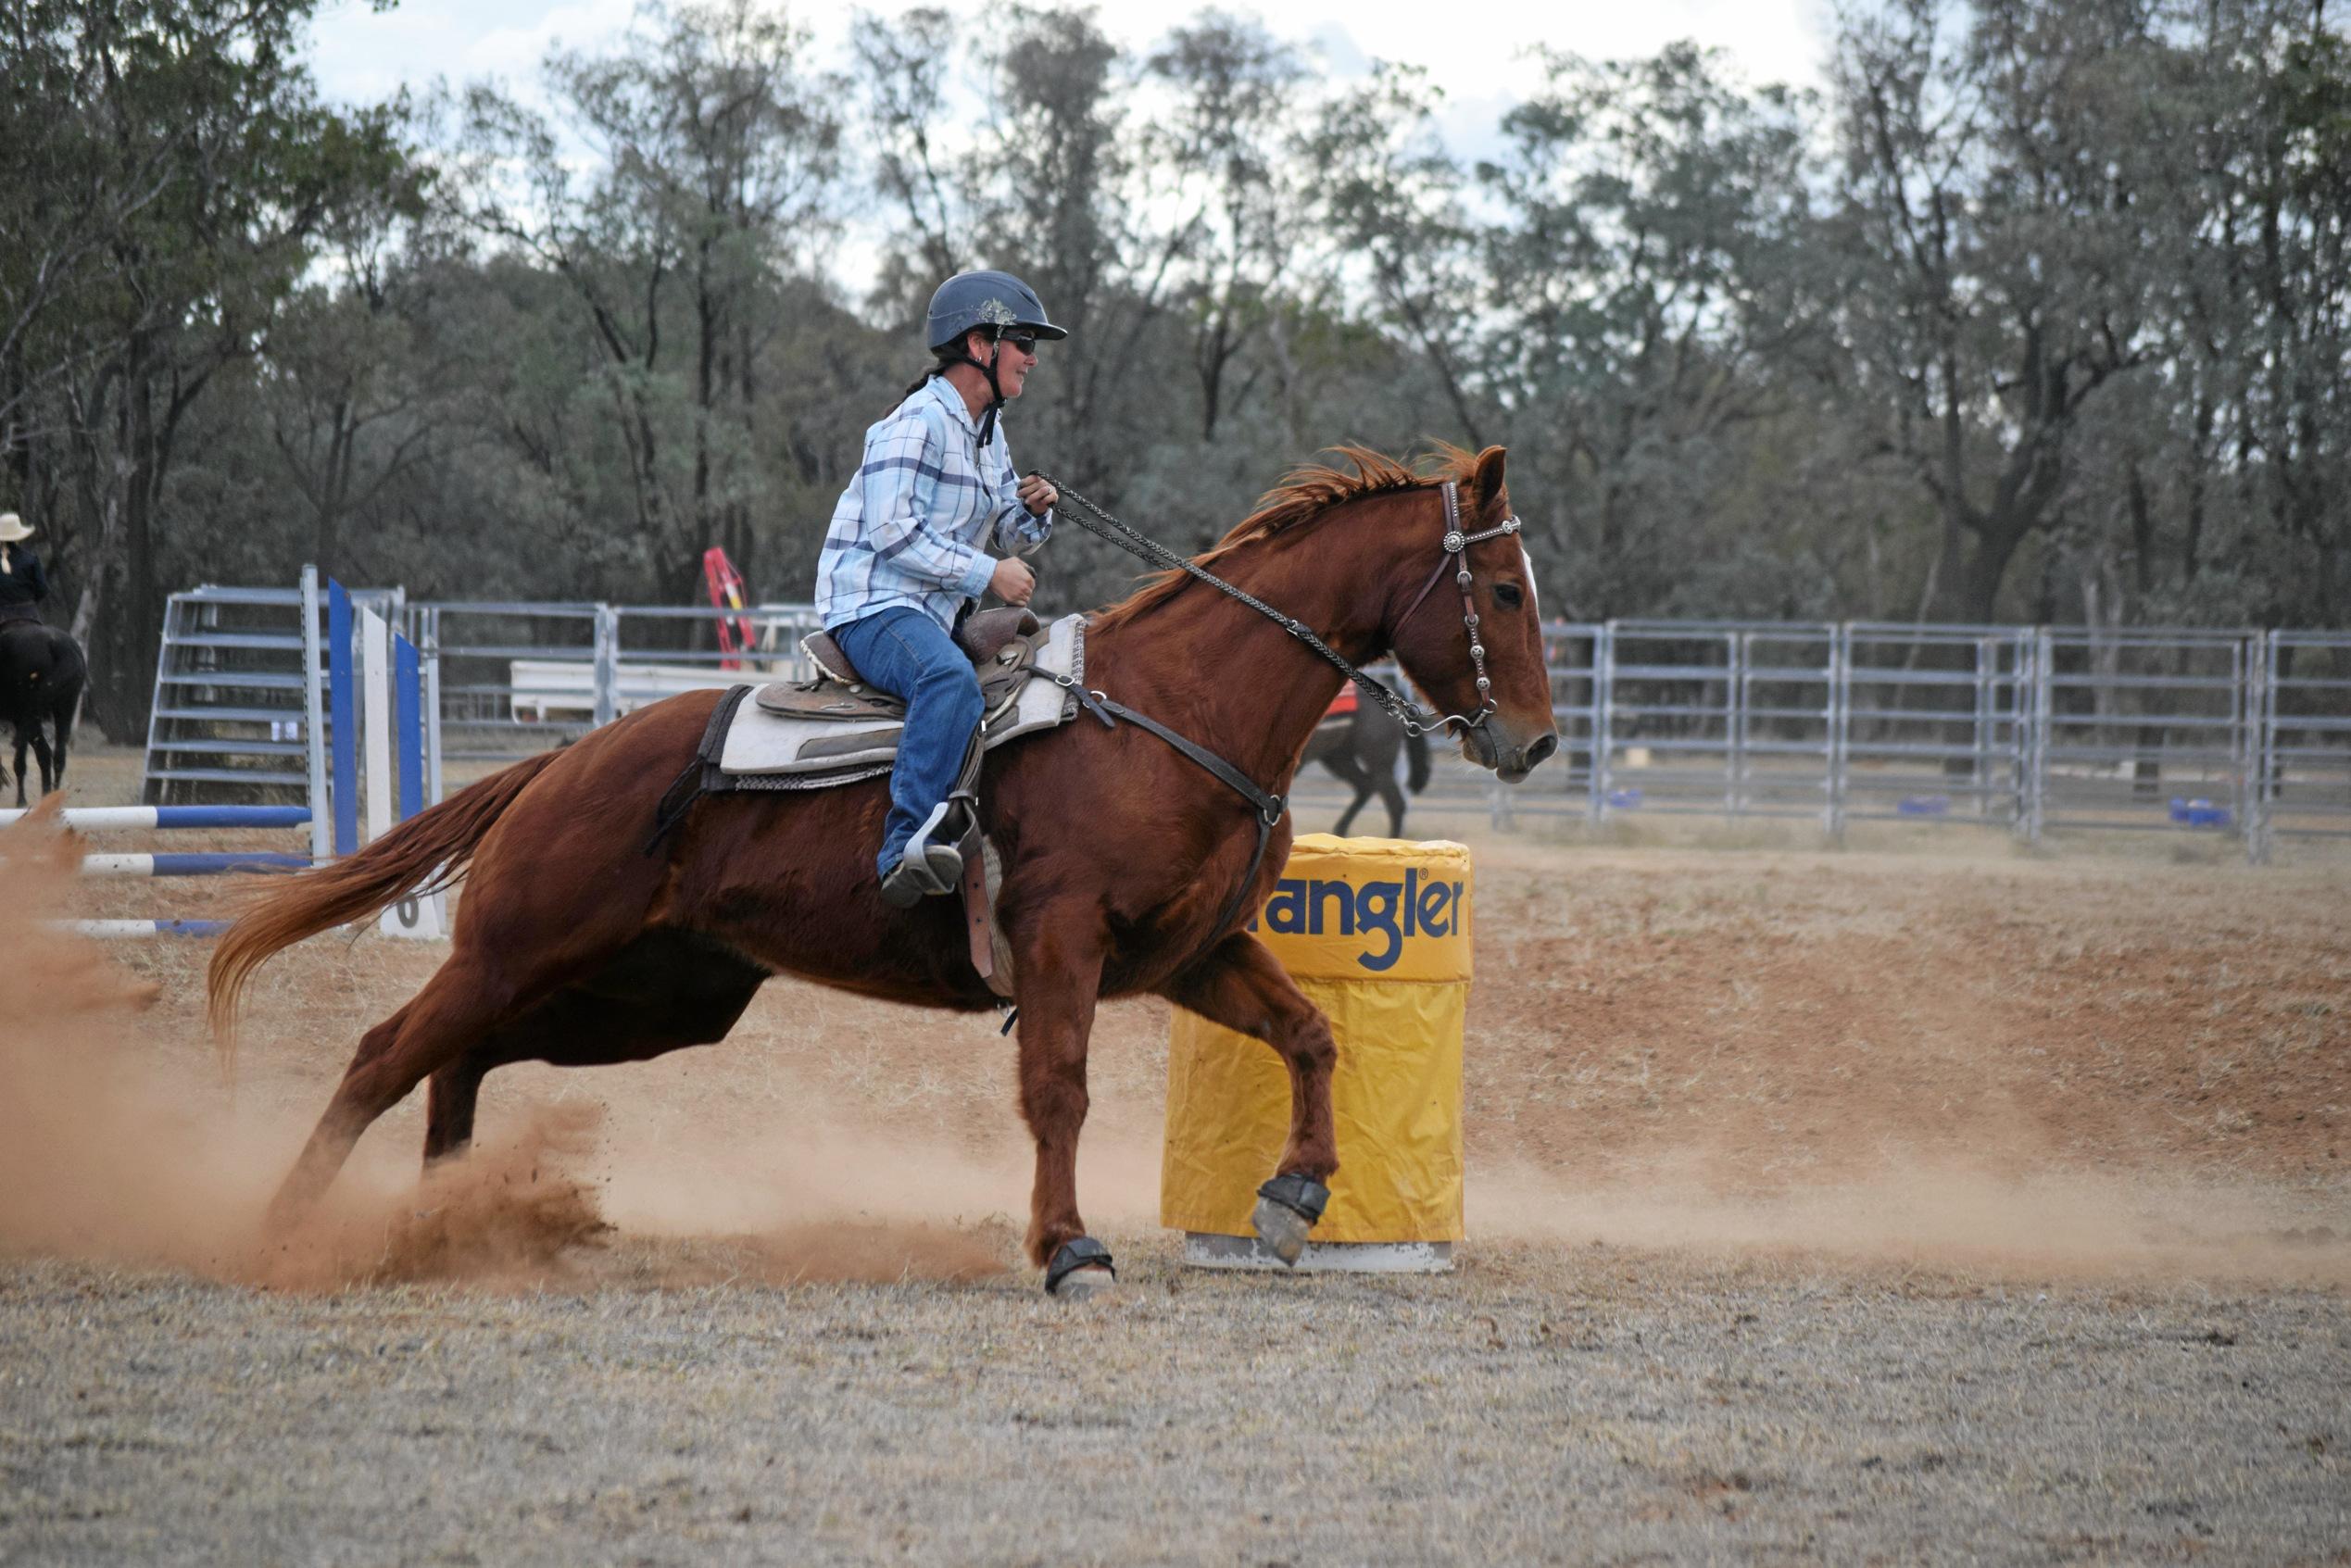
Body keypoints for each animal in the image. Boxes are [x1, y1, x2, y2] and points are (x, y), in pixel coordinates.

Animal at [0, 616, 85, 809]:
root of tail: (57, 645)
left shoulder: (21, 717)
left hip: (29, 712)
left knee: (24, 759)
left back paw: (22, 801)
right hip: (65, 707)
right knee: (56, 755)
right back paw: (50, 797)